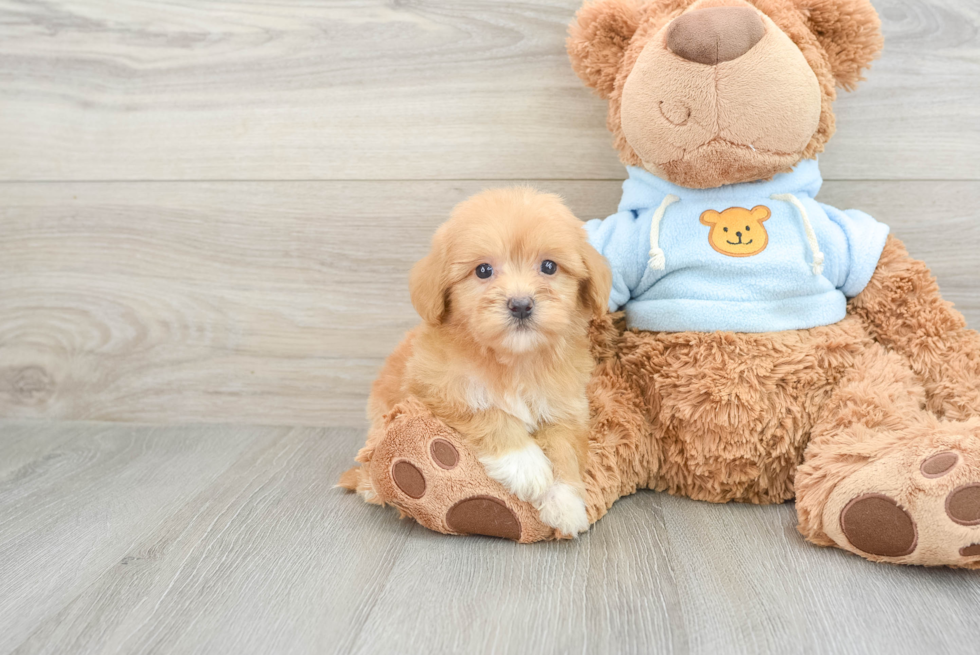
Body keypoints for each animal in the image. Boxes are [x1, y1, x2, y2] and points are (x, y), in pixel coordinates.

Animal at [354, 187, 612, 536]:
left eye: (548, 266)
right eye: (483, 270)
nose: (521, 304)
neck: (514, 360)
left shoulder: (566, 407)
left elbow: (564, 447)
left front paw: (566, 504)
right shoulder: (437, 388)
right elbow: (489, 412)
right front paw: (526, 465)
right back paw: (369, 485)